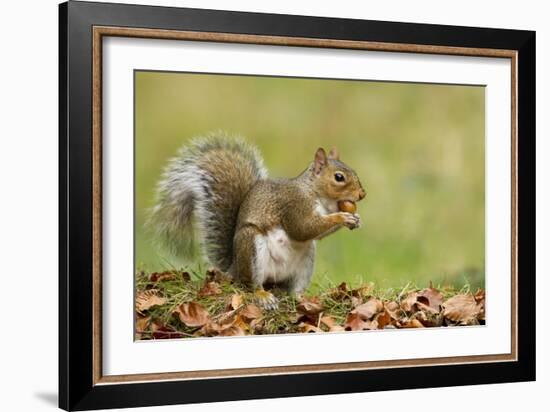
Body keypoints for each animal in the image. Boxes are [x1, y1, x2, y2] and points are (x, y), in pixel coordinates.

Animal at [149, 134, 368, 310]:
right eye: (339, 177)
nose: (362, 194)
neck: (315, 193)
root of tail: (234, 268)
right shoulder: (294, 205)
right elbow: (303, 229)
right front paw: (343, 217)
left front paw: (355, 219)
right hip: (251, 247)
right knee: (250, 285)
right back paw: (263, 296)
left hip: (305, 261)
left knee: (293, 289)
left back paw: (301, 297)